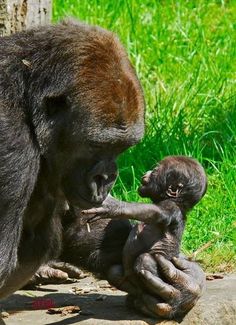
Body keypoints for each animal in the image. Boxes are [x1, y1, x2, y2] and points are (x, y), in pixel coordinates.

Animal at [0, 20, 205, 318]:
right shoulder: (11, 143)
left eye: (121, 147)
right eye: (95, 145)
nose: (106, 178)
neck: (27, 102)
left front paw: (183, 285)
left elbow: (81, 223)